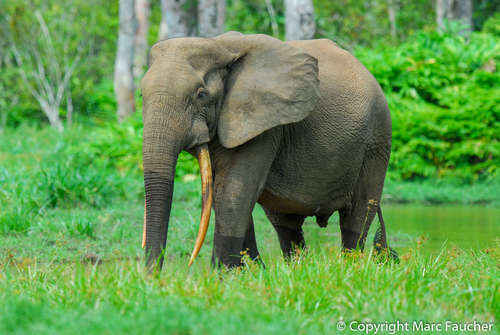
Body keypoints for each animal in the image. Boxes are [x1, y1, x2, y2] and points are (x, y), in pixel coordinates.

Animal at [140, 31, 394, 270]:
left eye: (202, 94)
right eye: (142, 95)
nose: (153, 279)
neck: (219, 45)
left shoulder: (265, 125)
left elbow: (233, 192)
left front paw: (221, 277)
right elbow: (226, 193)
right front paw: (244, 274)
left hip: (376, 141)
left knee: (357, 218)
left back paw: (351, 267)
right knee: (286, 225)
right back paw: (296, 269)